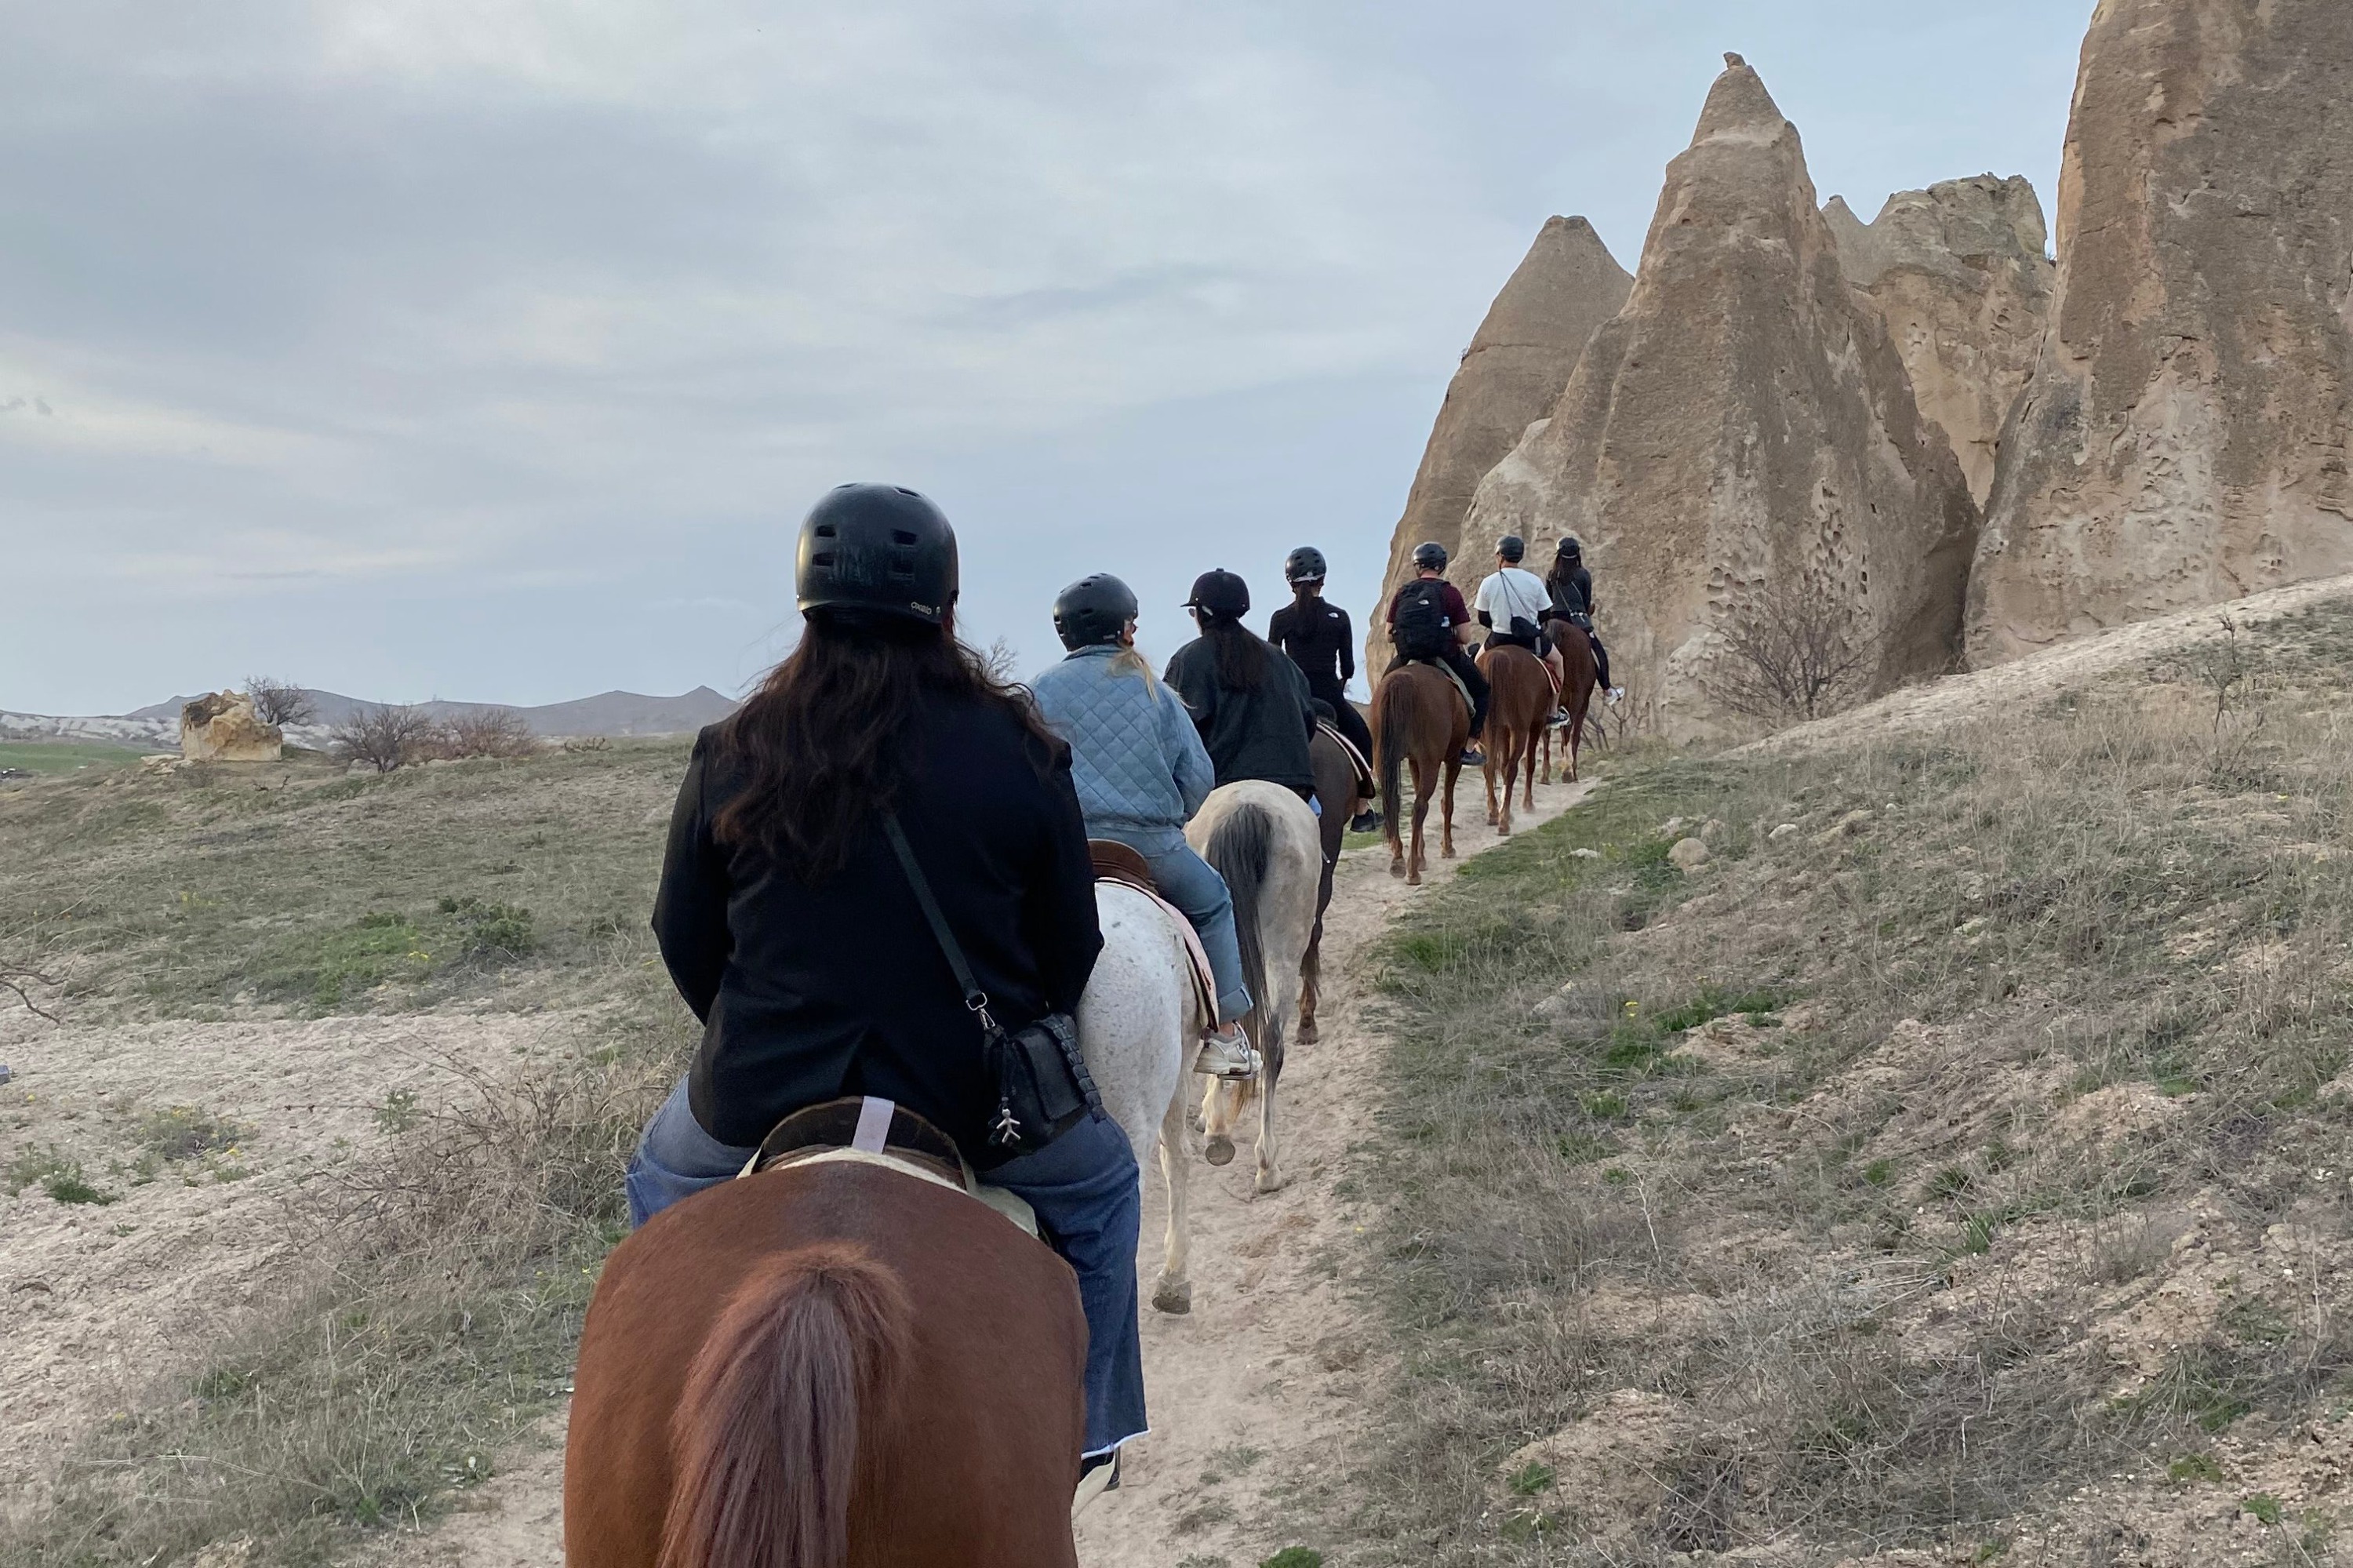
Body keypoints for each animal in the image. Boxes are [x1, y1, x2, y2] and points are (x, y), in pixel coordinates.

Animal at [1374, 654, 1459, 880]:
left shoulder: (1413, 761)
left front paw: (1421, 857)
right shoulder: (1454, 758)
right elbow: (1447, 803)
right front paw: (1447, 848)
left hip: (1383, 759)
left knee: (1393, 804)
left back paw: (1399, 861)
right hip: (1431, 762)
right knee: (1420, 806)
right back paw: (1412, 873)